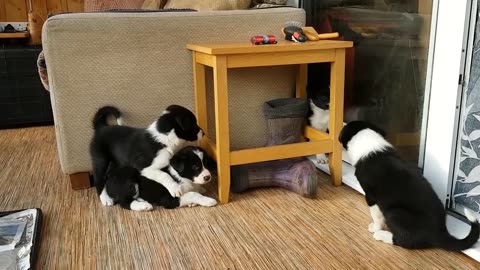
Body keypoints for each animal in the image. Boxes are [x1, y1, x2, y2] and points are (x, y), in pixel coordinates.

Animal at [340, 121, 478, 251]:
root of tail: (440, 234)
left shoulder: (371, 196)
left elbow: (376, 215)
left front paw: (375, 228)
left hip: (394, 213)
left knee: (405, 241)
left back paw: (381, 235)